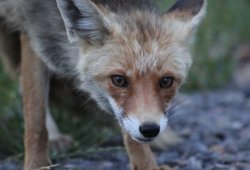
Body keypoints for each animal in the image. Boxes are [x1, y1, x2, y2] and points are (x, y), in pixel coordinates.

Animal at [0, 0, 207, 170]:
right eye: (119, 80)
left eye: (166, 81)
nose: (150, 129)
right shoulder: (30, 29)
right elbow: (36, 120)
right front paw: (37, 165)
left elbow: (131, 136)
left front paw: (147, 165)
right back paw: (55, 137)